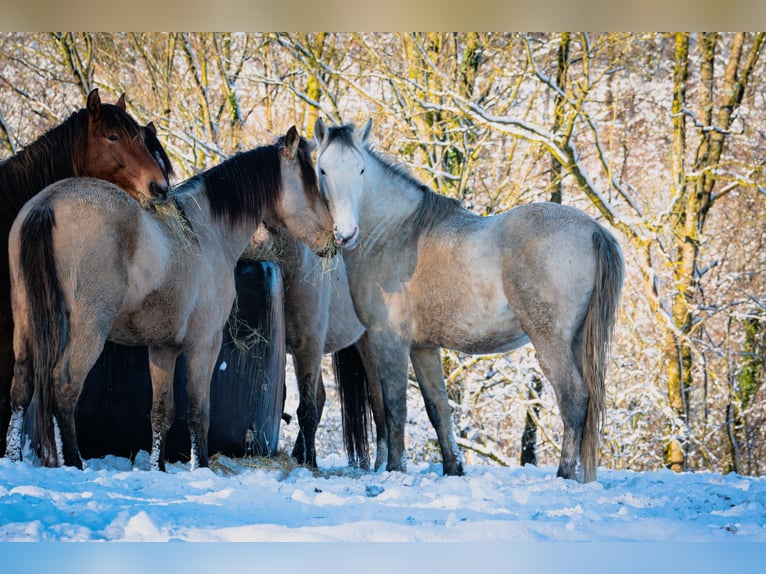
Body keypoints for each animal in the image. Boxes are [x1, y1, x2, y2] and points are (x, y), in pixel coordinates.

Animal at [5, 127, 336, 472]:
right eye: (310, 181)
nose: (333, 237)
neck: (204, 232)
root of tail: (47, 204)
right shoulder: (205, 345)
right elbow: (198, 413)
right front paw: (200, 467)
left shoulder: (163, 348)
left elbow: (161, 413)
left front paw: (158, 468)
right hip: (88, 331)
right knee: (65, 387)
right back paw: (74, 462)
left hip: (25, 324)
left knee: (21, 388)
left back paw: (14, 457)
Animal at [316, 119, 628, 484]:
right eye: (323, 169)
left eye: (361, 169)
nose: (345, 233)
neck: (395, 233)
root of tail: (593, 229)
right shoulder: (422, 347)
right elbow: (438, 408)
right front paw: (453, 468)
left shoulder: (388, 341)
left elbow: (394, 407)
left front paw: (395, 469)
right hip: (577, 341)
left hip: (550, 341)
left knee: (574, 397)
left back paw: (564, 474)